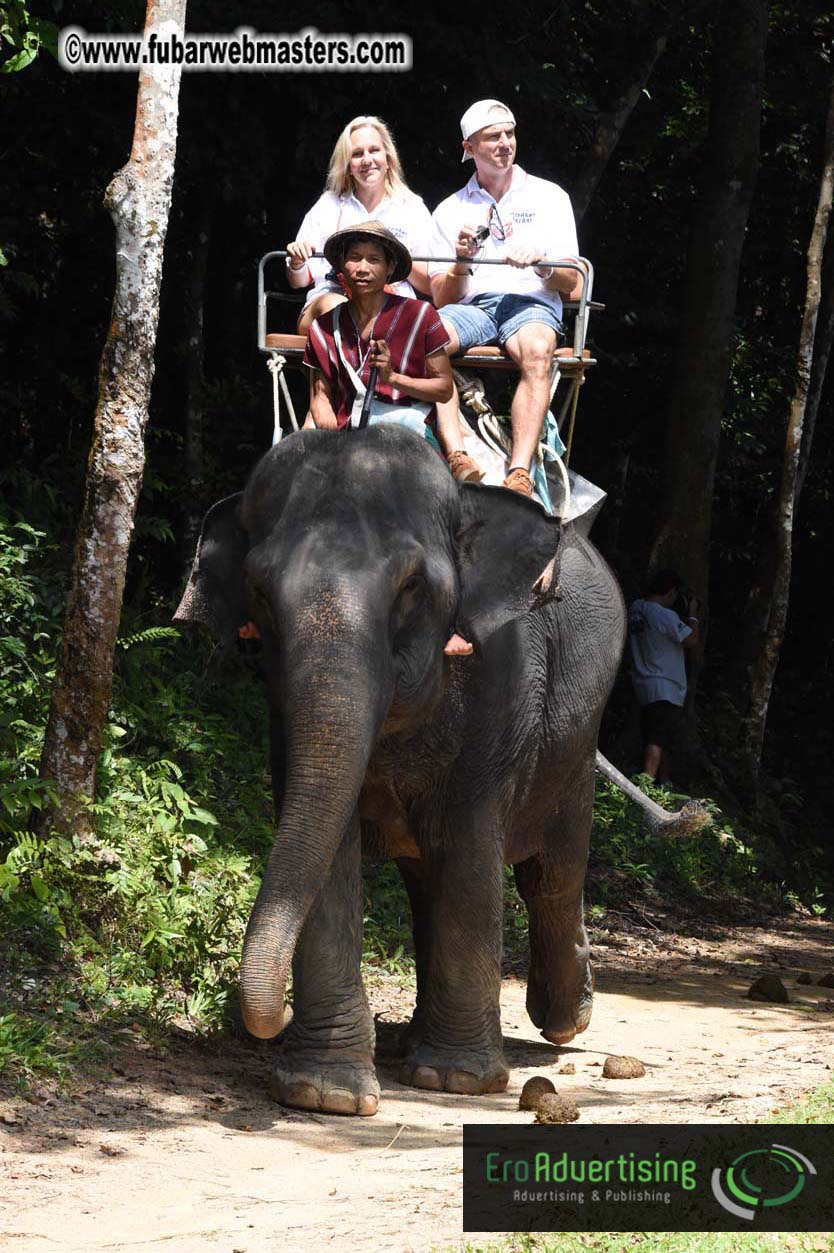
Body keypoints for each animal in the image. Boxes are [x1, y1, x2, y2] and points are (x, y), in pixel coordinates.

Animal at [175, 423, 626, 1116]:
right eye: (259, 591)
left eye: (412, 586)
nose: (264, 1022)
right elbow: (328, 847)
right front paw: (325, 1093)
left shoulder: (503, 683)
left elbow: (470, 846)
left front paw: (457, 1080)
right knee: (429, 881)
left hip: (575, 743)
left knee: (551, 872)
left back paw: (563, 1020)